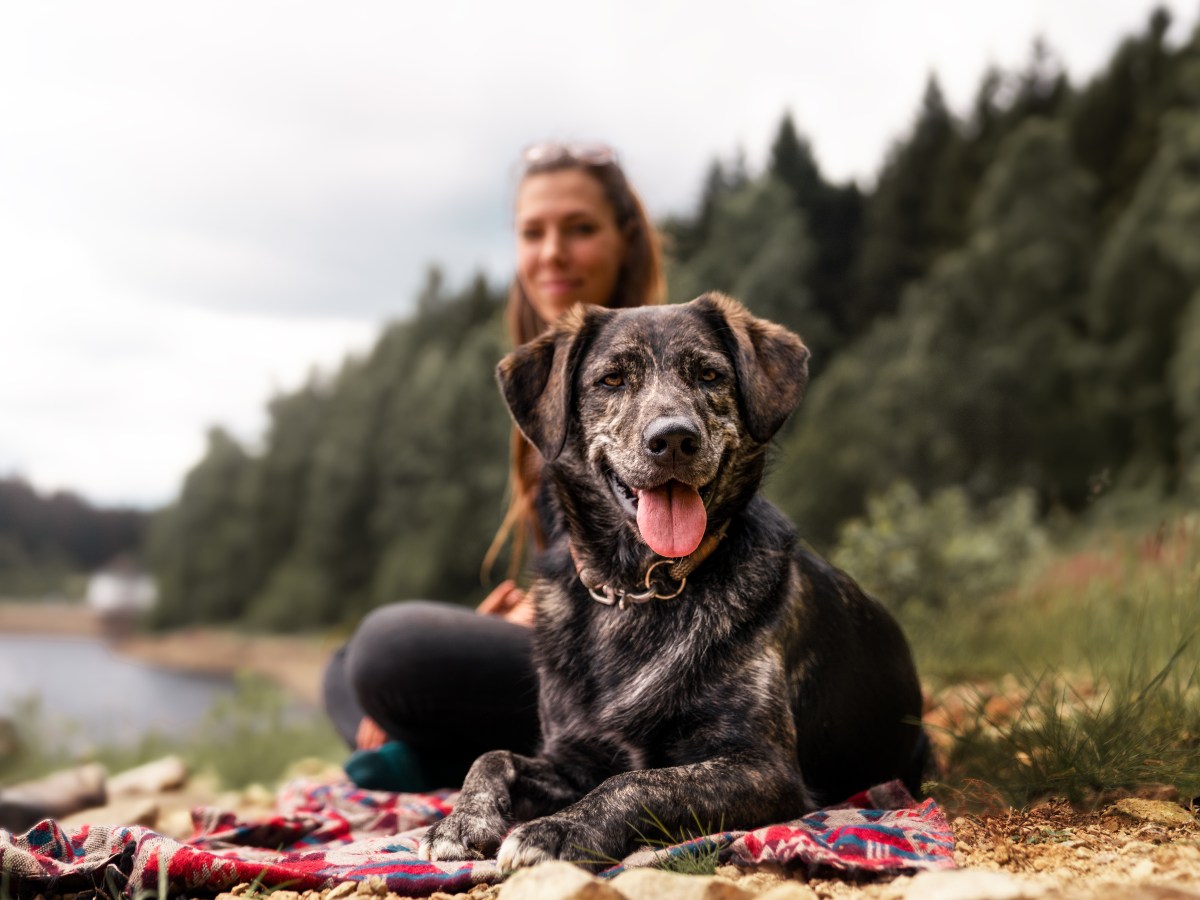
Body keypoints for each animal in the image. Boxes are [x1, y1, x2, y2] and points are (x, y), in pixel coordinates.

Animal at [422, 296, 926, 873]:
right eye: (612, 379)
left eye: (709, 374)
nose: (674, 439)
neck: (637, 589)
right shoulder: (572, 758)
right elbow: (492, 757)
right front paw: (460, 822)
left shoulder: (764, 768)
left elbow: (638, 781)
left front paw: (558, 830)